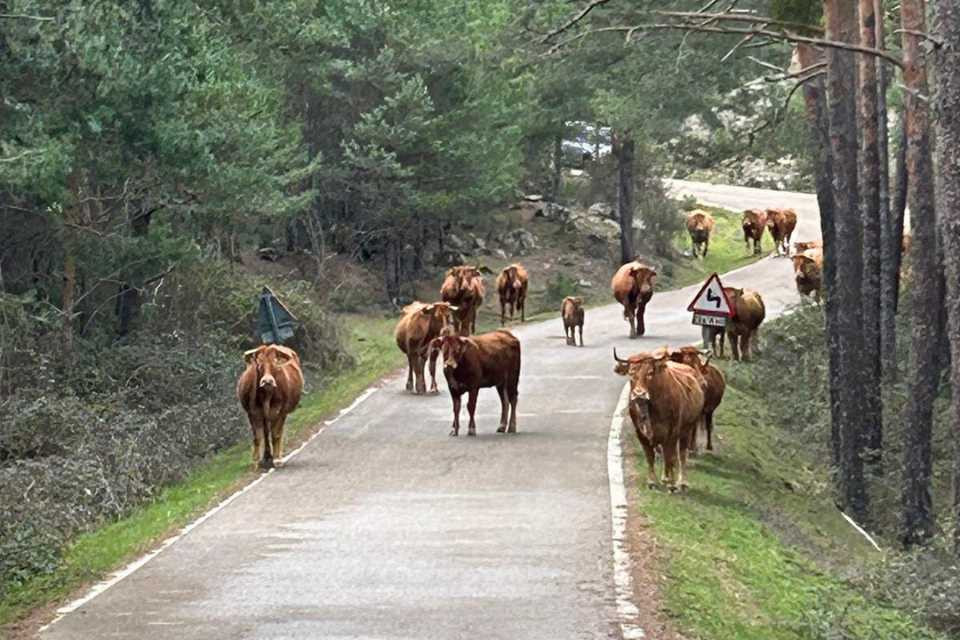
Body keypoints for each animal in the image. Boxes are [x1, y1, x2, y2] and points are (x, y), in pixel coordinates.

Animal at [616, 350, 704, 490]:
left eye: (650, 373)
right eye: (631, 373)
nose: (639, 394)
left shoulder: (672, 433)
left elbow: (669, 456)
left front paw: (669, 482)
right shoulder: (641, 434)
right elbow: (650, 457)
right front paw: (652, 481)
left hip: (687, 429)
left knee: (681, 454)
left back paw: (681, 482)